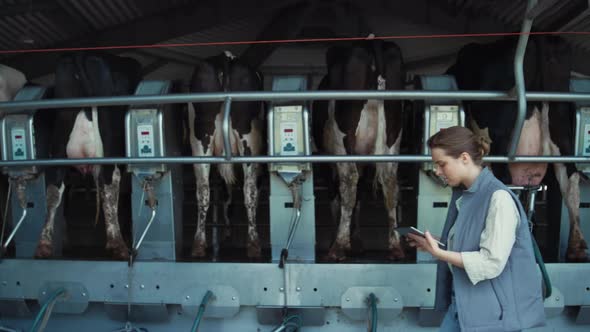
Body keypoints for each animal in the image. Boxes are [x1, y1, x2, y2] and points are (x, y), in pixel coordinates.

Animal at [34, 52, 142, 260]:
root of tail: (81, 54)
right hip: (109, 147)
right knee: (109, 186)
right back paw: (117, 244)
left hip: (58, 147)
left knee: (53, 188)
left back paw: (44, 244)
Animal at [188, 52, 264, 260]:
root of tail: (225, 58)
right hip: (249, 139)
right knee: (250, 189)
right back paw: (253, 243)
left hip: (200, 139)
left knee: (203, 189)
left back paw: (199, 243)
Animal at [314, 39, 408, 262]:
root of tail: (373, 43)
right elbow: (360, 197)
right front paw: (356, 240)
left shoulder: (325, 159)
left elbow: (337, 197)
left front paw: (341, 238)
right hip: (392, 139)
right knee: (390, 183)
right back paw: (395, 246)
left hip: (343, 141)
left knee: (349, 183)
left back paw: (338, 247)